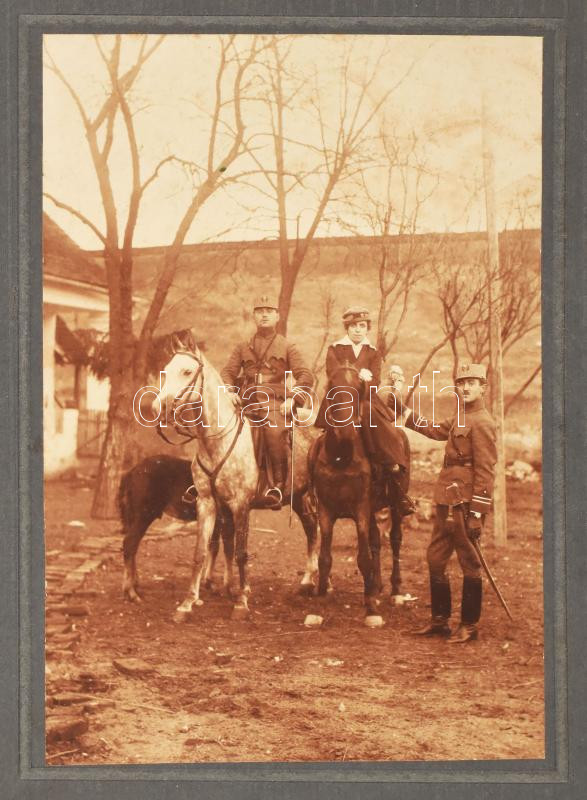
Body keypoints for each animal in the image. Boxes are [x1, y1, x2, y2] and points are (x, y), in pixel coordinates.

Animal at [153, 337, 320, 621]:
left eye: (187, 371)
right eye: (165, 371)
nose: (158, 407)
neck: (217, 440)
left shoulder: (241, 504)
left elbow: (241, 552)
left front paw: (241, 602)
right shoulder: (207, 503)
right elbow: (201, 551)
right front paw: (187, 603)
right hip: (298, 496)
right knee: (312, 527)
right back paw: (308, 580)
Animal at [311, 362, 385, 622]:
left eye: (358, 388)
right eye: (333, 386)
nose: (346, 432)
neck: (341, 458)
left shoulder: (361, 509)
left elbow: (363, 557)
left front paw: (371, 605)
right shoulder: (325, 510)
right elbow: (324, 558)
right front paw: (320, 599)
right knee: (376, 540)